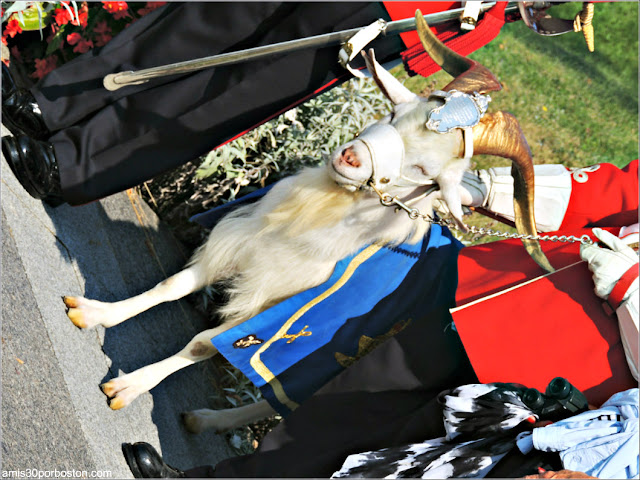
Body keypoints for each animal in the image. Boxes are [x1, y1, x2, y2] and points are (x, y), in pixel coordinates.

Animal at [61, 13, 552, 436]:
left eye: (426, 173)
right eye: (395, 116)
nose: (351, 157)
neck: (314, 222)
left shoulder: (272, 316)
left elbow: (202, 344)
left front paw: (128, 387)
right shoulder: (242, 251)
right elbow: (170, 287)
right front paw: (93, 313)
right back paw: (206, 421)